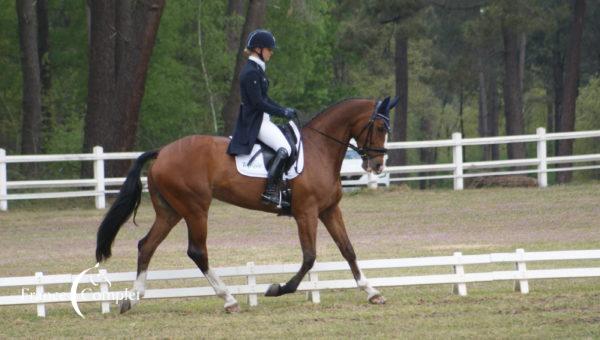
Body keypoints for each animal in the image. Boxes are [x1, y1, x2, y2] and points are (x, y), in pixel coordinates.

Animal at [96, 95, 398, 314]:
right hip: (195, 209)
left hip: (170, 212)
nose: (378, 165)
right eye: (380, 127)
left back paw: (133, 298)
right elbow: (309, 257)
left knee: (147, 246)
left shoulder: (329, 210)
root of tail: (162, 152)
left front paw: (372, 292)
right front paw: (277, 288)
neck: (320, 150)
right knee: (197, 251)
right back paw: (229, 299)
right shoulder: (306, 212)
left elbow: (348, 250)